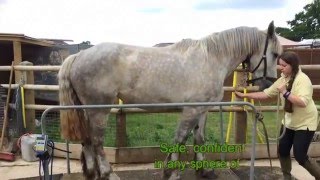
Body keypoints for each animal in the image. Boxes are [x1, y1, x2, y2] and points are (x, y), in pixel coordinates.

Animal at [58, 21, 282, 180]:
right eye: (274, 54)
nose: (268, 84)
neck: (211, 60)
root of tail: (78, 55)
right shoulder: (191, 111)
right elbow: (180, 139)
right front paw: (171, 172)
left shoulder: (203, 110)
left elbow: (199, 139)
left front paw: (204, 170)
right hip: (99, 110)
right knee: (97, 141)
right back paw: (108, 174)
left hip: (86, 109)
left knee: (87, 139)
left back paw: (90, 172)